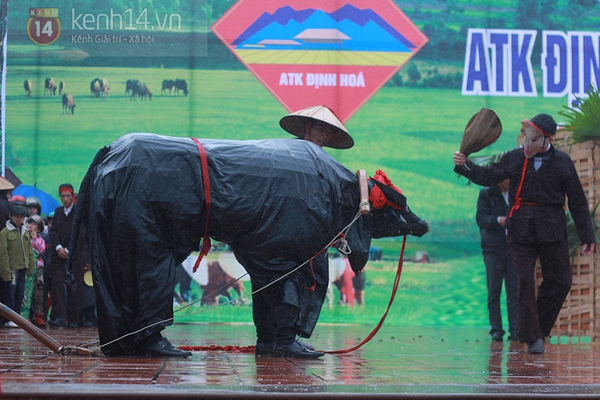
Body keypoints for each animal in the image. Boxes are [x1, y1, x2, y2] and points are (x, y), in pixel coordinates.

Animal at [69, 134, 426, 356]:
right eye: (400, 205)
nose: (423, 224)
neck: (339, 192)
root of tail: (110, 151)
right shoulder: (285, 257)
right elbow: (289, 298)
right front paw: (293, 348)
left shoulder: (262, 254)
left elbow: (266, 302)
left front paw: (270, 347)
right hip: (142, 243)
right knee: (150, 288)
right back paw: (161, 347)